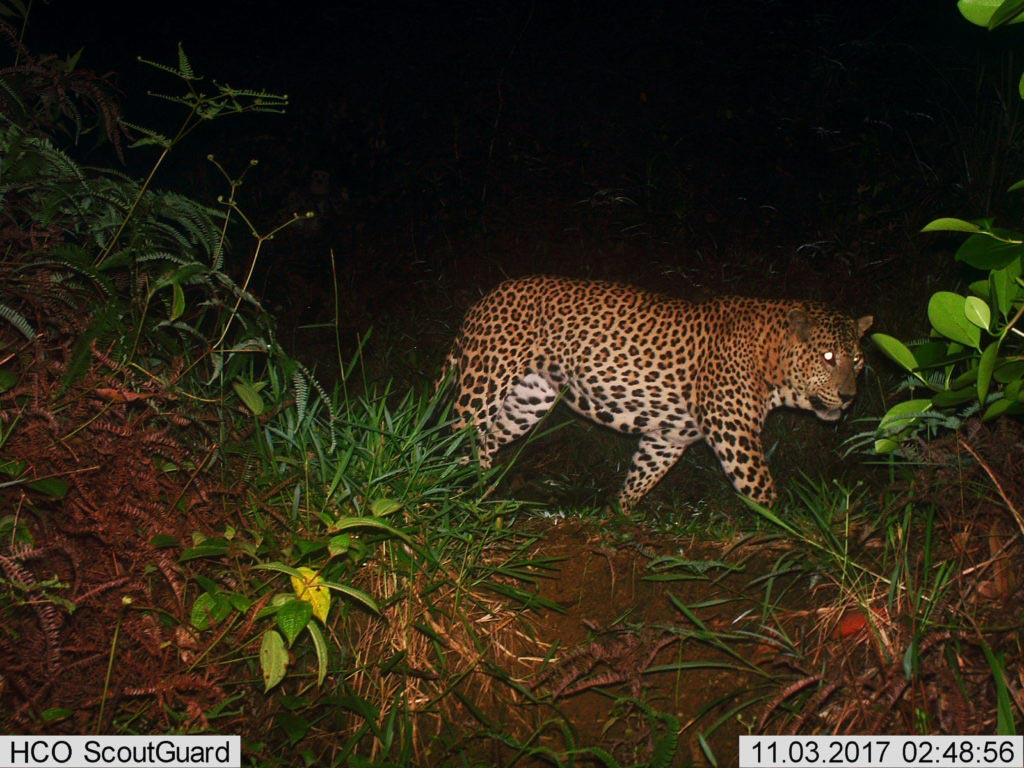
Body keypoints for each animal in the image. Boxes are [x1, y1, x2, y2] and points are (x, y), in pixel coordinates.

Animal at [440, 275, 873, 508]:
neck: (772, 359)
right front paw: (793, 533)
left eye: (857, 360)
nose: (849, 397)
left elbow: (640, 477)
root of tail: (484, 299)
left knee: (485, 442)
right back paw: (453, 491)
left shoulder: (669, 437)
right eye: (829, 357)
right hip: (484, 384)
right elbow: (762, 491)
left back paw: (482, 490)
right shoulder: (735, 434)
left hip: (528, 400)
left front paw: (619, 515)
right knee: (455, 438)